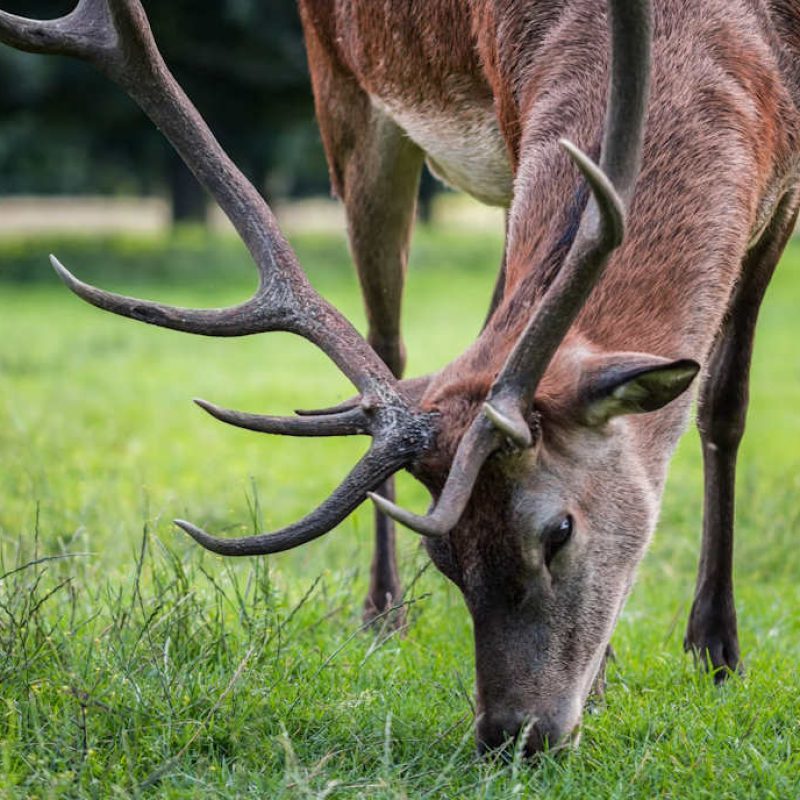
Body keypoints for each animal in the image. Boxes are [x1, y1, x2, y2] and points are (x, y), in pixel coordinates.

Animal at [3, 0, 796, 756]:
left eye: (559, 531)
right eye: (442, 557)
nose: (512, 736)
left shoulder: (783, 191)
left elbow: (724, 402)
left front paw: (717, 651)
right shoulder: (507, 113)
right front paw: (607, 680)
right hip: (350, 104)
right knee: (394, 340)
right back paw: (383, 612)